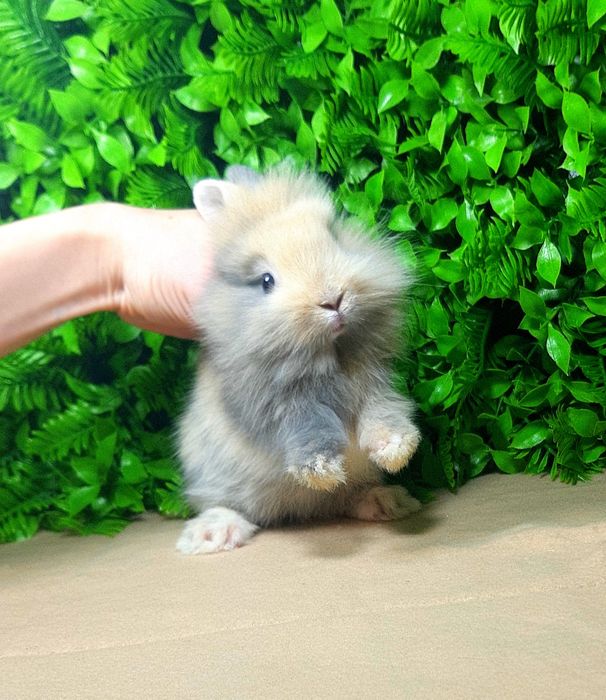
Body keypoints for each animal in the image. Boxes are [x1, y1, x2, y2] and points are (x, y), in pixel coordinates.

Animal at [176, 163, 421, 555]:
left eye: (334, 237)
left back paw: (388, 501)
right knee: (230, 505)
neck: (330, 354)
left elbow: (382, 414)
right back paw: (211, 534)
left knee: (347, 498)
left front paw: (396, 450)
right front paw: (321, 471)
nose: (333, 298)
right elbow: (308, 428)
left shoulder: (374, 383)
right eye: (266, 281)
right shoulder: (275, 405)